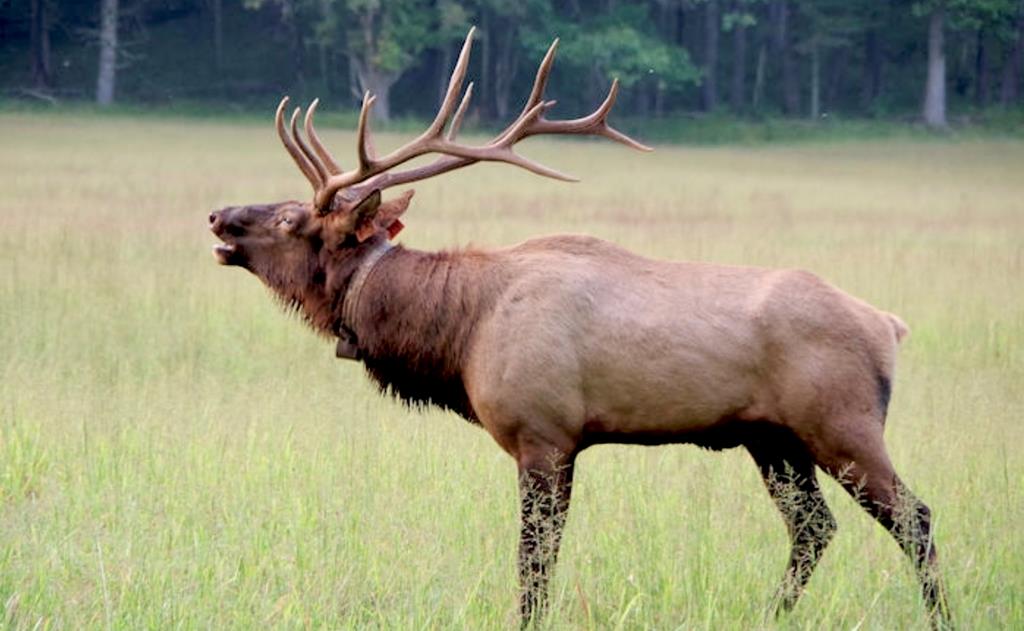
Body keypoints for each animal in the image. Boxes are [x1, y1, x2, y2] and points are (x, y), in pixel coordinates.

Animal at [207, 28, 950, 631]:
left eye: (289, 220)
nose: (217, 215)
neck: (459, 334)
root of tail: (891, 326)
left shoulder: (544, 433)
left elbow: (534, 567)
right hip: (772, 438)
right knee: (814, 528)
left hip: (841, 423)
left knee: (914, 517)